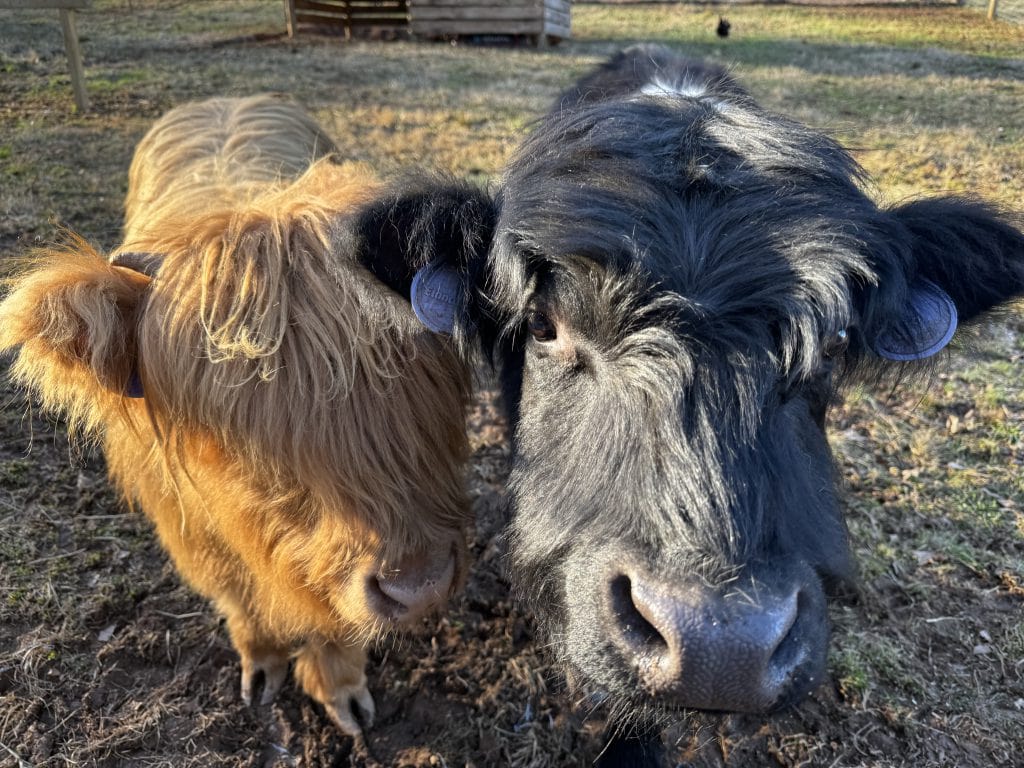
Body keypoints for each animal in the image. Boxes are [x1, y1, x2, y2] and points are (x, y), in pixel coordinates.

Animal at [0, 93, 489, 737]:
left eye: (434, 386)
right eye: (237, 435)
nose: (420, 587)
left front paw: (341, 689)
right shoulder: (194, 533)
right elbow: (242, 599)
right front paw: (262, 664)